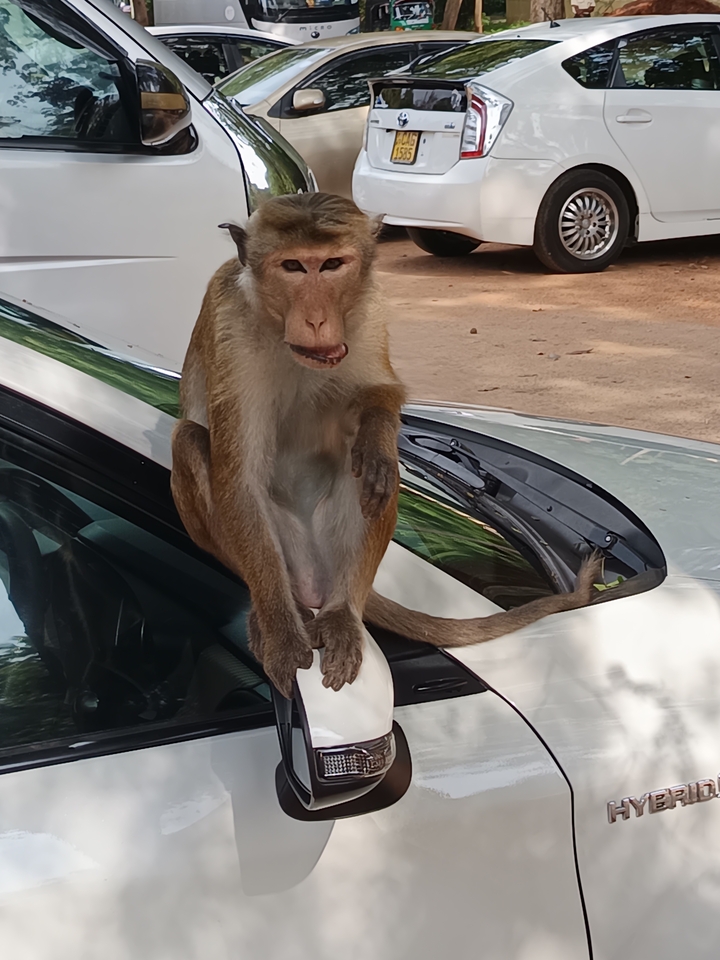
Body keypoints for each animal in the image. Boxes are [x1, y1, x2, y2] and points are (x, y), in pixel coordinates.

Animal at [171, 192, 602, 700]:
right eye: (293, 266)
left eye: (332, 265)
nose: (317, 318)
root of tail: (315, 583)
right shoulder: (229, 325)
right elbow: (240, 477)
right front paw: (279, 630)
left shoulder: (371, 306)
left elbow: (381, 393)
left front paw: (377, 436)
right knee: (189, 440)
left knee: (368, 478)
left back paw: (341, 613)